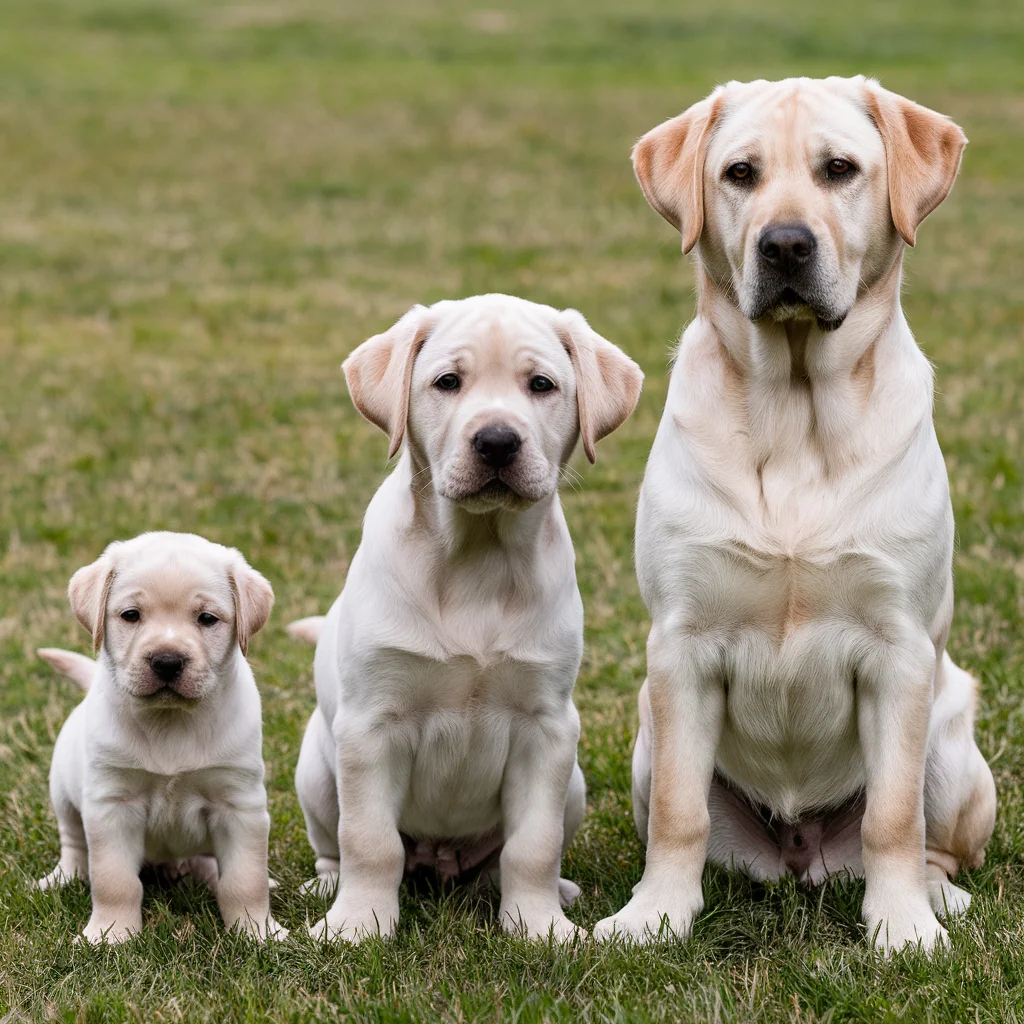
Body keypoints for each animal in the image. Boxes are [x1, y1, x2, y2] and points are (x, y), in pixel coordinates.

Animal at [36, 536, 284, 942]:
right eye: (131, 615)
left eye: (207, 618)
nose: (167, 661)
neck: (171, 722)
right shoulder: (111, 804)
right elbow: (114, 880)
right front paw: (109, 935)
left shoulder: (240, 805)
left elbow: (246, 880)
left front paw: (258, 932)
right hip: (64, 795)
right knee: (73, 845)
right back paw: (60, 879)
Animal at [292, 292, 638, 937]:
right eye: (447, 382)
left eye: (541, 384)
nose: (497, 440)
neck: (478, 555)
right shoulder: (371, 725)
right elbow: (370, 841)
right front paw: (358, 926)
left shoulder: (547, 727)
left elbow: (533, 845)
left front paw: (540, 927)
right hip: (317, 770)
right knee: (335, 845)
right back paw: (324, 887)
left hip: (574, 781)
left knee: (505, 858)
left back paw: (552, 890)